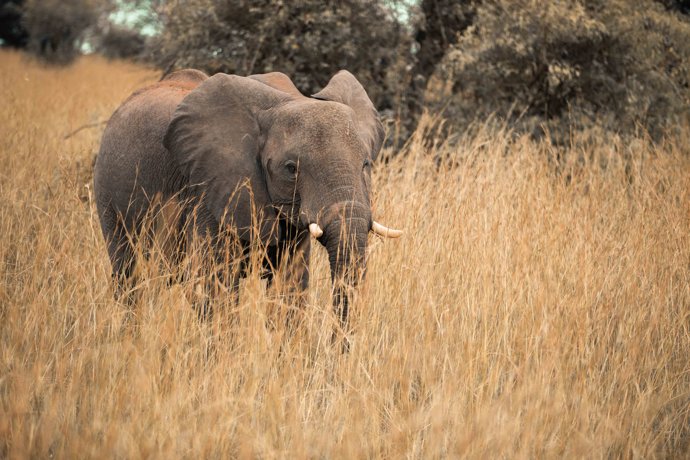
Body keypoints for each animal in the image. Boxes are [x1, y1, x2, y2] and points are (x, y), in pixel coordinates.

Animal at [93, 68, 401, 328]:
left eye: (366, 164)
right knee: (130, 277)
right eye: (291, 169)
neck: (282, 102)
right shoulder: (208, 189)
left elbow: (289, 285)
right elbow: (215, 285)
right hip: (108, 196)